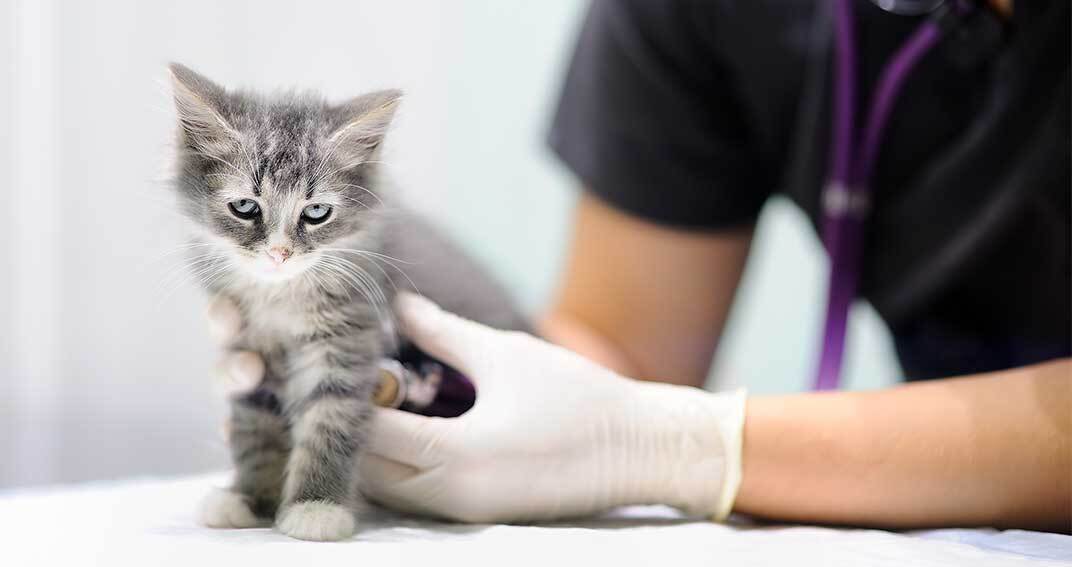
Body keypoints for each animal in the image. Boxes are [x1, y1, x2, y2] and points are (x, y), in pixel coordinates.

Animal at [168, 62, 531, 540]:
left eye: (316, 213)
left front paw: (315, 507)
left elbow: (329, 424)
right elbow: (255, 428)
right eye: (245, 207)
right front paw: (249, 497)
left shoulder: (347, 340)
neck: (282, 298)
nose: (279, 253)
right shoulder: (250, 350)